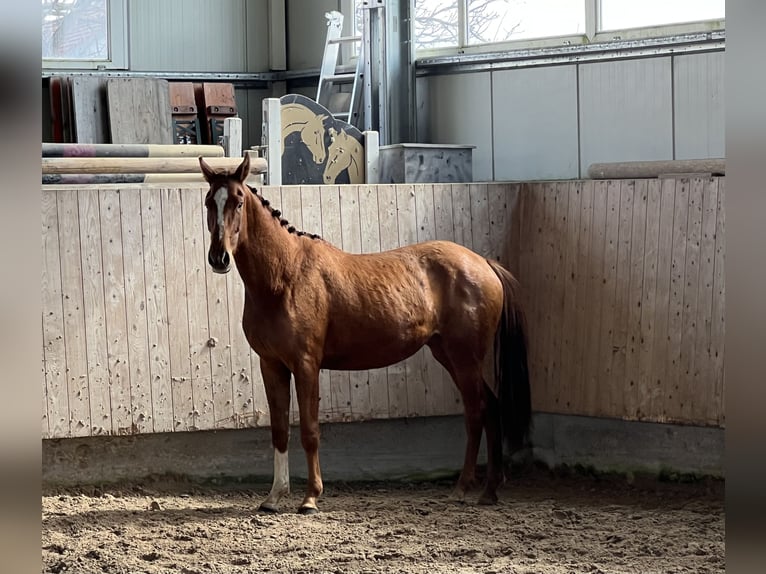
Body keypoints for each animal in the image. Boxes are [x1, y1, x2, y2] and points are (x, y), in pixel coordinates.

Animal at [199, 154, 531, 514]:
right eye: (209, 202)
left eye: (238, 201)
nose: (218, 258)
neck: (285, 277)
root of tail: (483, 263)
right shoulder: (272, 365)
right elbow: (279, 430)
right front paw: (274, 496)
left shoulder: (306, 365)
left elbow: (310, 430)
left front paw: (311, 497)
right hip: (450, 356)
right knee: (491, 407)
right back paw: (489, 490)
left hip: (465, 359)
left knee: (476, 412)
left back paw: (462, 487)